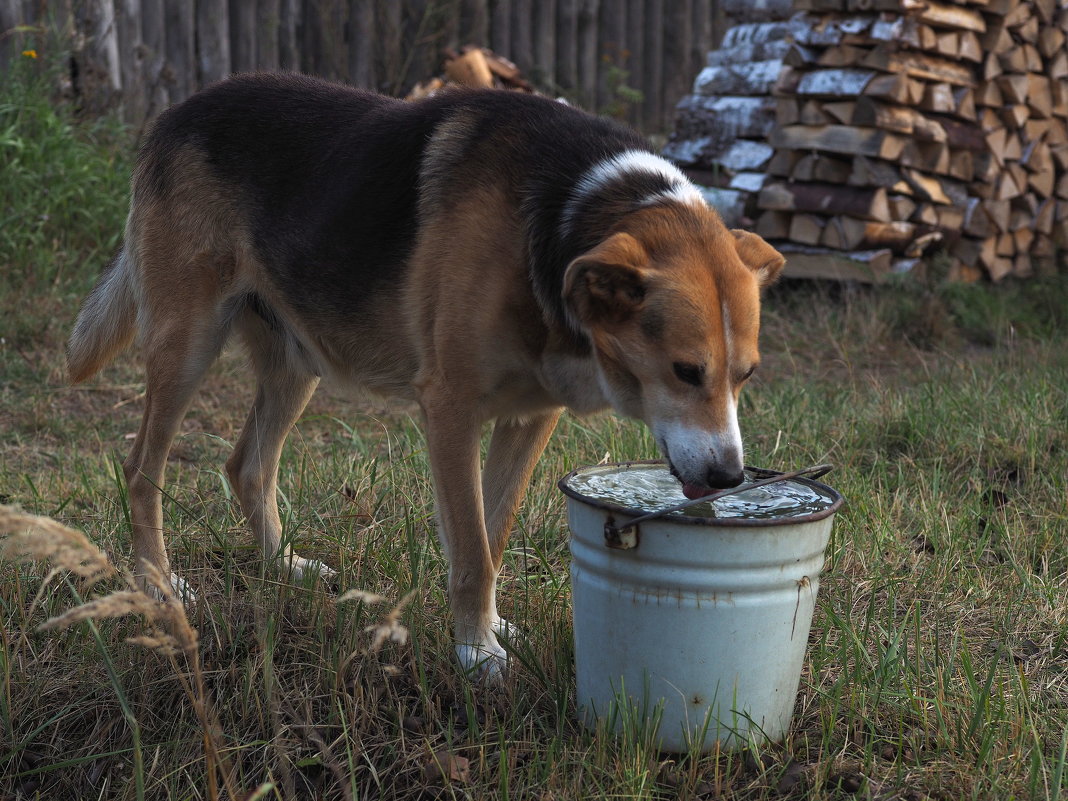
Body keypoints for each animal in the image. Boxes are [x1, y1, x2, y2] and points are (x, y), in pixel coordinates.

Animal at [66, 72, 786, 679]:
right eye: (685, 371)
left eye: (746, 376)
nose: (730, 477)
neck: (559, 213)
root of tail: (176, 113)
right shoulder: (451, 410)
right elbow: (470, 548)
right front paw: (477, 652)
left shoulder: (530, 417)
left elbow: (491, 537)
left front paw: (486, 629)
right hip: (187, 342)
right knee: (142, 468)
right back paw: (159, 584)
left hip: (298, 361)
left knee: (248, 464)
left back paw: (283, 566)